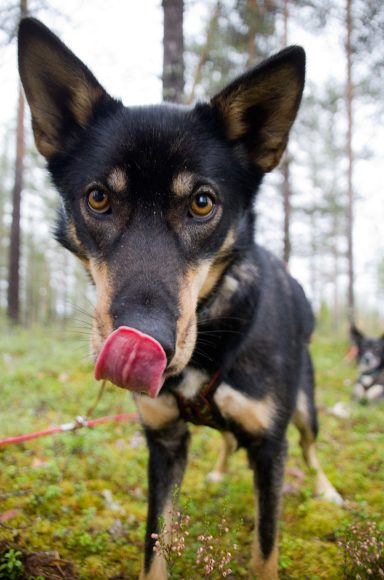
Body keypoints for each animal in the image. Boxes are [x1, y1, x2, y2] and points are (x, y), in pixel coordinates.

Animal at [18, 18, 342, 580]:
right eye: (98, 198)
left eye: (202, 203)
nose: (146, 342)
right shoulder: (164, 442)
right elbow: (156, 544)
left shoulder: (269, 446)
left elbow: (266, 547)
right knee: (228, 440)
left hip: (304, 403)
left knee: (310, 445)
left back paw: (326, 489)